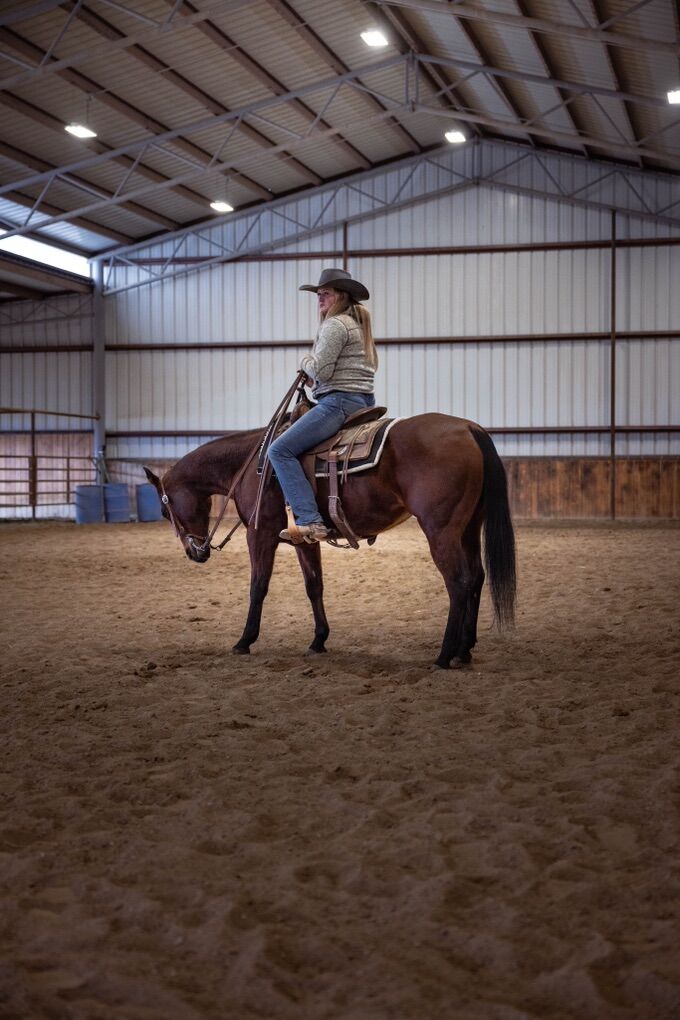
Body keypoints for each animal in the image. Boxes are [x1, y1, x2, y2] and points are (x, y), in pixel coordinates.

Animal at [143, 413, 516, 669]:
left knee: (458, 583)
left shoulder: (260, 534)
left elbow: (258, 586)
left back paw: (443, 655)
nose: (196, 553)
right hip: (468, 528)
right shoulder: (304, 540)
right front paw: (318, 640)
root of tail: (469, 428)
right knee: (476, 578)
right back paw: (464, 650)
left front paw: (244, 640)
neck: (251, 464)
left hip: (441, 530)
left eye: (164, 510)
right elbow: (314, 586)